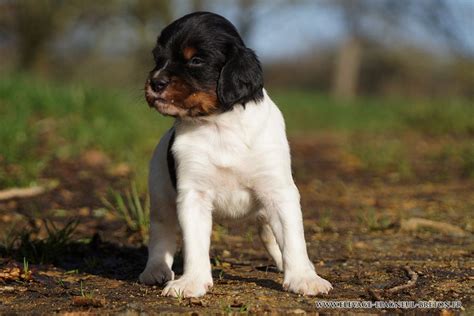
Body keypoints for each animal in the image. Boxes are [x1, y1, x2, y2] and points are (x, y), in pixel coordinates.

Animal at [139, 11, 332, 298]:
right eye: (158, 59)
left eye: (196, 60)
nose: (155, 82)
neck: (221, 125)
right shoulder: (193, 195)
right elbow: (194, 243)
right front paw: (192, 282)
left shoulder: (279, 191)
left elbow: (293, 239)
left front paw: (303, 278)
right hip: (161, 195)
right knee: (161, 234)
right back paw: (155, 270)